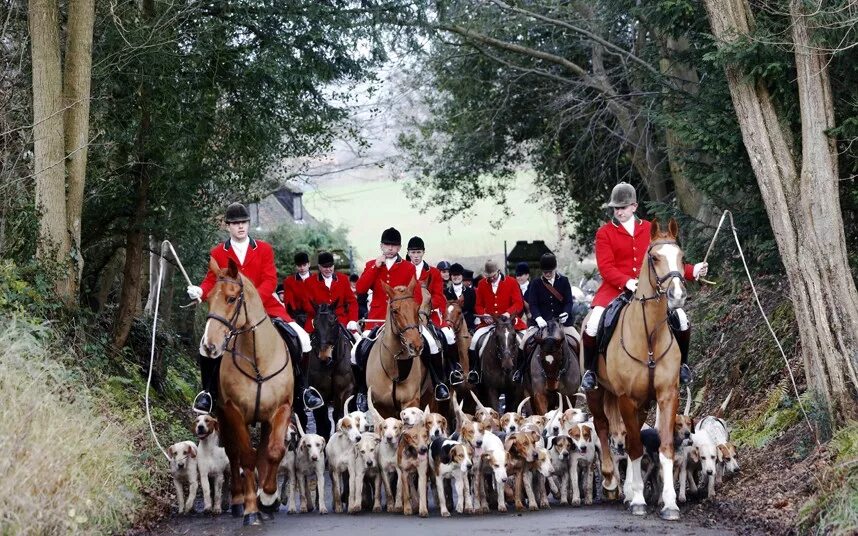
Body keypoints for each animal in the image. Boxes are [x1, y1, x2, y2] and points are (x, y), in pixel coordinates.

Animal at [199, 258, 292, 524]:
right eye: (208, 298)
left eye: (231, 298)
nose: (209, 346)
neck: (257, 358)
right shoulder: (234, 412)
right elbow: (246, 456)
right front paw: (252, 508)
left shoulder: (281, 409)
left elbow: (273, 451)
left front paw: (268, 498)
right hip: (222, 415)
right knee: (233, 454)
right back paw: (239, 501)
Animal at [304, 302, 354, 440]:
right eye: (314, 323)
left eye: (333, 321)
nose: (324, 355)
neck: (331, 364)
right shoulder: (320, 394)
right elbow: (323, 423)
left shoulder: (344, 391)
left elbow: (340, 417)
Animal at [580, 217, 684, 520]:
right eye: (655, 257)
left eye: (681, 255)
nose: (677, 295)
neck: (649, 336)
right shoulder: (626, 397)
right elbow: (636, 446)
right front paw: (638, 499)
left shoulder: (667, 395)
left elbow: (664, 446)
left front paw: (669, 503)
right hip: (597, 392)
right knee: (603, 426)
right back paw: (611, 480)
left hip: (641, 404)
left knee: (629, 432)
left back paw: (627, 489)